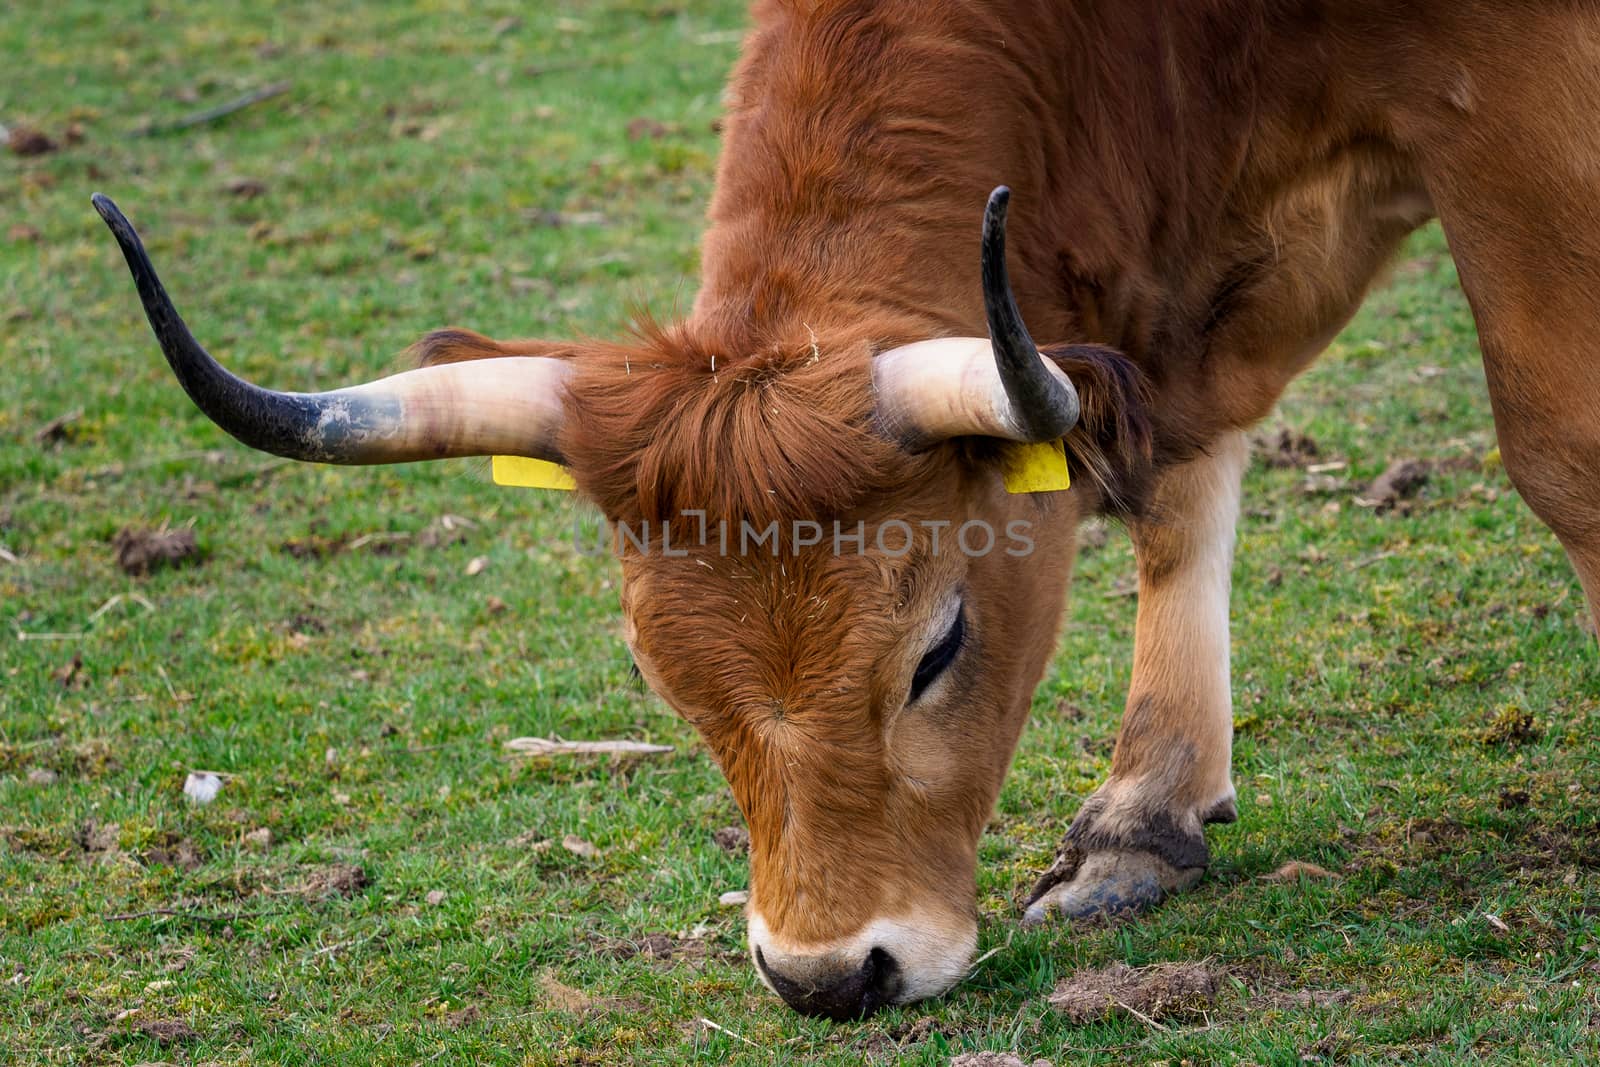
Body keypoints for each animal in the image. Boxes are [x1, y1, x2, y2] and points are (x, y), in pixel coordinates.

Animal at [96, 0, 1600, 1017]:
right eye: (660, 679)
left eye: (937, 650)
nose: (829, 972)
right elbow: (1176, 491)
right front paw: (1143, 817)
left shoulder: (1506, 101)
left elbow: (1557, 440)